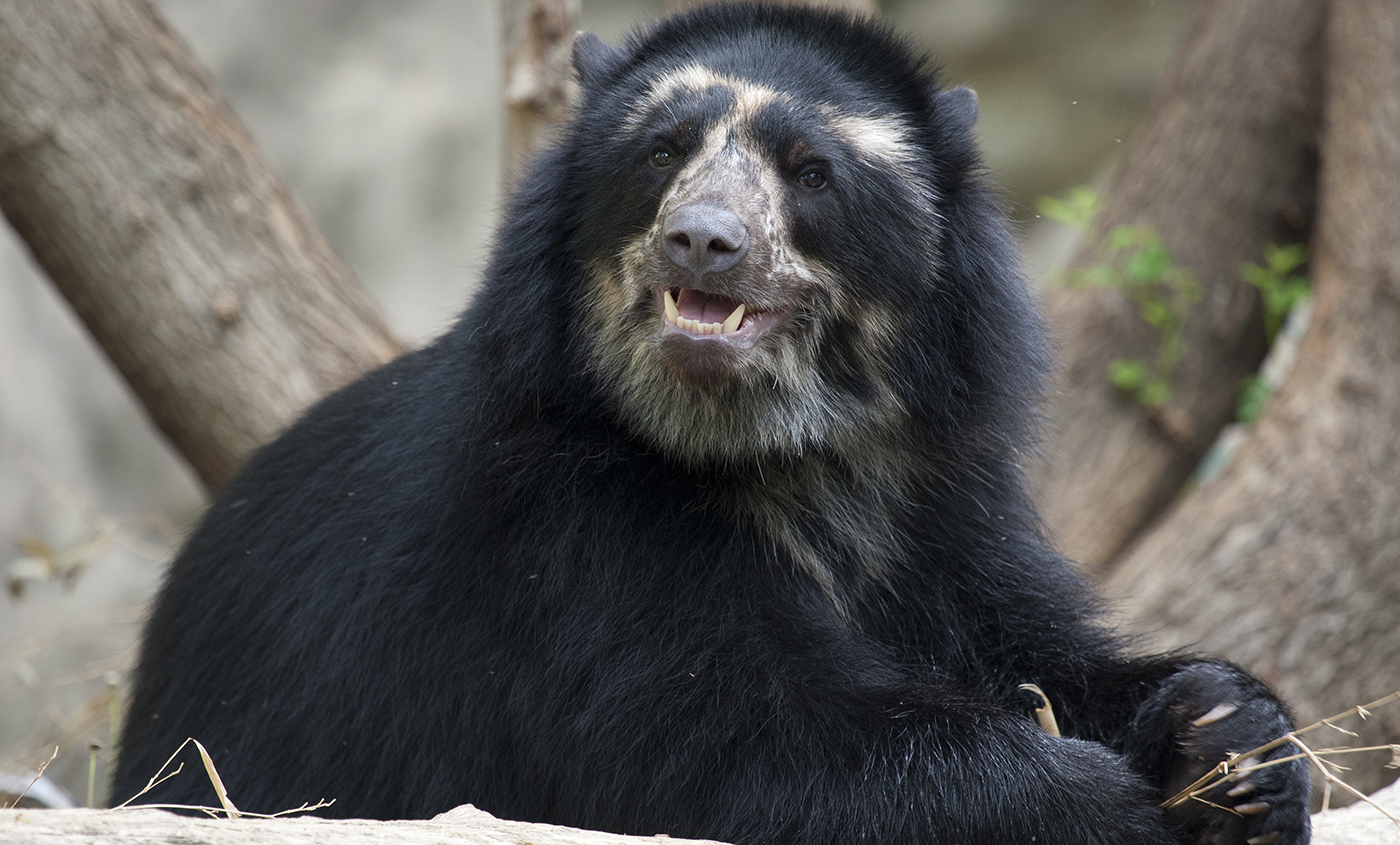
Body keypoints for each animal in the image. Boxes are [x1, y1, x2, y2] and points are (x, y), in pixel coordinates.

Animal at [109, 6, 1310, 845]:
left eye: (811, 172)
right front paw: (1093, 797)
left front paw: (1231, 743)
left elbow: (1036, 649)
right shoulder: (565, 539)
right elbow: (737, 743)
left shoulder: (941, 506)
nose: (703, 242)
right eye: (660, 153)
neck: (785, 450)